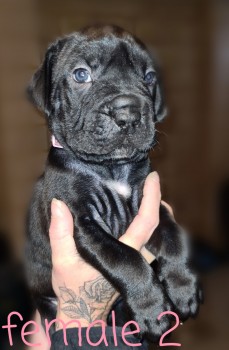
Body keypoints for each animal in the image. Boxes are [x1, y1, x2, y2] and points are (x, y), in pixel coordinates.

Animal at [26, 25, 199, 342]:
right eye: (81, 74)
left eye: (149, 77)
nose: (127, 113)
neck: (112, 169)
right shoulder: (84, 224)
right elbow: (125, 258)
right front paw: (152, 308)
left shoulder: (153, 204)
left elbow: (174, 238)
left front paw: (183, 286)